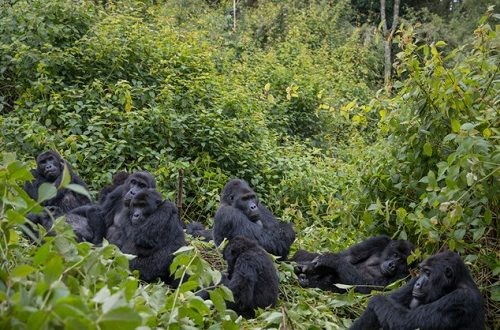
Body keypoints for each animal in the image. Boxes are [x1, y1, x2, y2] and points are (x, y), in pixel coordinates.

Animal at [352, 251, 484, 328]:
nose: (418, 283)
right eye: (421, 271)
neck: (454, 283)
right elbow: (390, 301)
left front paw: (376, 298)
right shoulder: (412, 280)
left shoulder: (460, 298)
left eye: (428, 273)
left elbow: (406, 322)